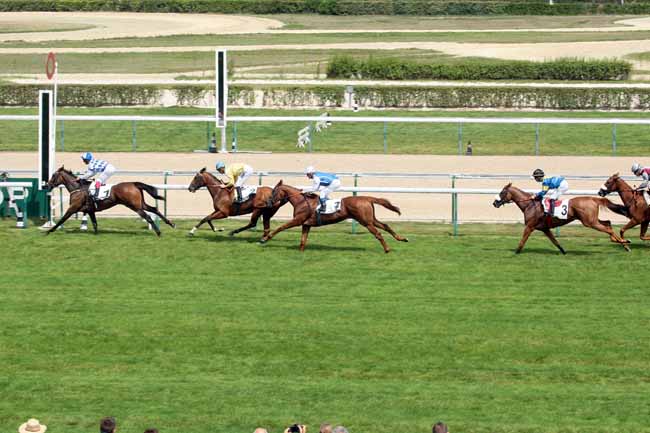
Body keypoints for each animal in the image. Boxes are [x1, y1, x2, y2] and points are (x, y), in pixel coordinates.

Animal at [45, 165, 175, 235]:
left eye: (53, 175)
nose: (47, 185)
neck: (78, 188)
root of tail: (134, 183)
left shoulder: (73, 208)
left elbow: (62, 219)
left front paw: (49, 231)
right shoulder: (90, 210)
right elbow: (95, 223)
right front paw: (96, 234)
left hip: (134, 206)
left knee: (147, 216)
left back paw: (158, 232)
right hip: (140, 203)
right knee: (154, 209)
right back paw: (171, 224)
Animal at [258, 180, 404, 253]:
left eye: (273, 192)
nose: (268, 202)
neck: (300, 201)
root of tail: (367, 198)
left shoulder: (298, 220)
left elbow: (281, 227)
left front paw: (264, 239)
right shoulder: (306, 224)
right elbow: (303, 240)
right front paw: (300, 252)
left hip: (365, 222)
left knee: (378, 233)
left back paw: (387, 249)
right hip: (370, 219)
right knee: (385, 226)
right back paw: (402, 238)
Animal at [492, 182, 628, 253]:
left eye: (502, 192)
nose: (495, 203)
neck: (529, 205)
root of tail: (593, 199)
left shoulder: (530, 226)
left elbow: (523, 240)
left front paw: (516, 252)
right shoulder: (545, 228)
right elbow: (555, 241)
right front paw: (563, 251)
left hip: (589, 222)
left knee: (608, 228)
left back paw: (625, 242)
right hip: (592, 220)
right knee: (608, 223)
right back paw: (623, 244)